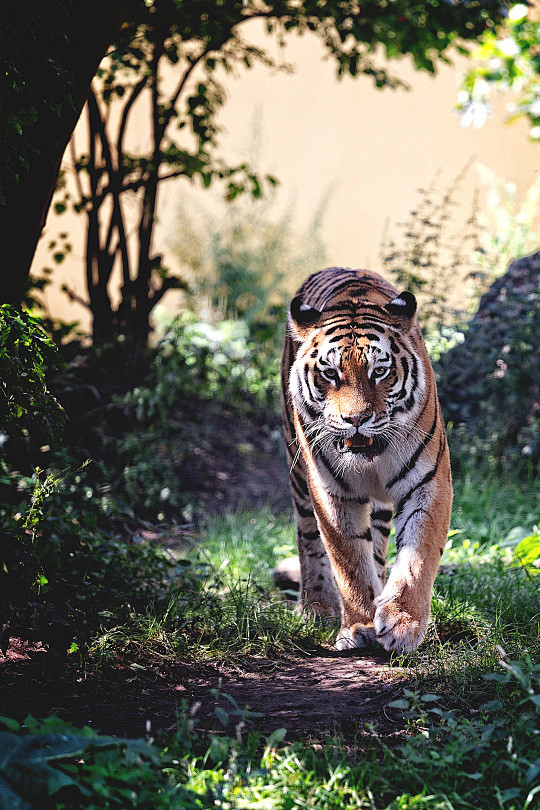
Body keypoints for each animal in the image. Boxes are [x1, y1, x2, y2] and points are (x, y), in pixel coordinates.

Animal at [280, 268, 454, 652]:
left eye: (379, 372)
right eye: (330, 374)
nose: (356, 418)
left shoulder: (428, 483)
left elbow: (417, 556)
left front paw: (402, 623)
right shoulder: (332, 493)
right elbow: (349, 561)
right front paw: (358, 625)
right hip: (298, 473)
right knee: (309, 540)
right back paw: (316, 606)